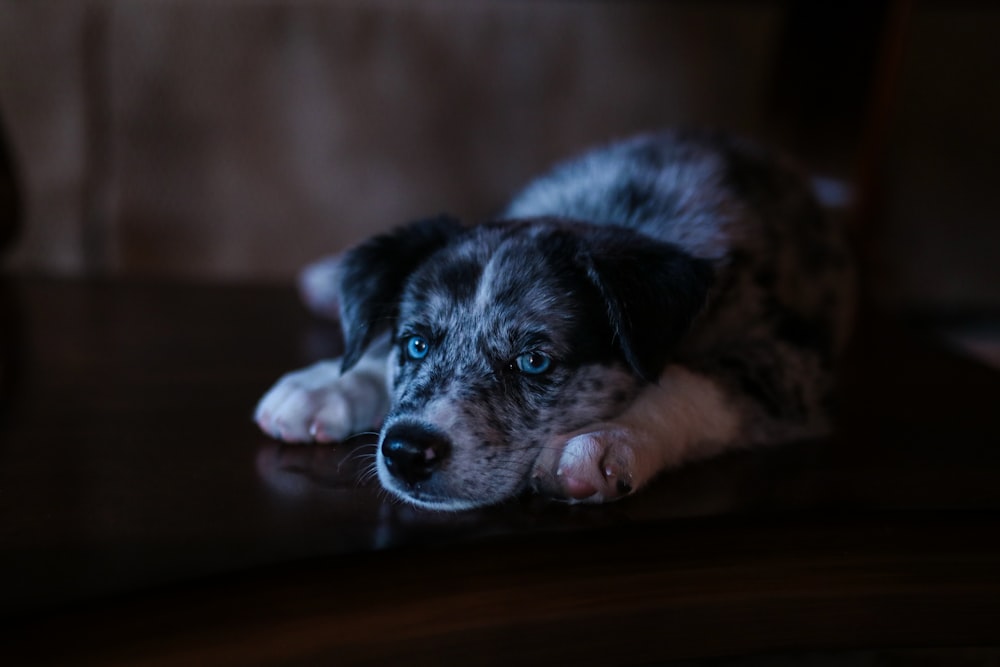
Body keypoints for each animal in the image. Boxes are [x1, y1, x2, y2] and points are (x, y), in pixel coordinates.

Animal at [256, 130, 852, 512]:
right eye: (417, 344)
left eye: (534, 362)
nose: (406, 453)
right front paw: (326, 385)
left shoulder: (792, 362)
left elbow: (694, 381)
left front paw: (604, 441)